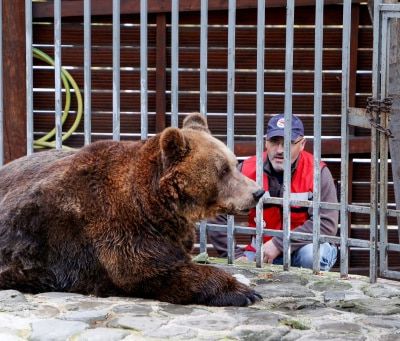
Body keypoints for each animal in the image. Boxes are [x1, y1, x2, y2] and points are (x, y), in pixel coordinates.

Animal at [0, 113, 264, 306]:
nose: (258, 192)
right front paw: (242, 291)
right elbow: (151, 269)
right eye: (223, 170)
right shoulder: (118, 225)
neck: (156, 205)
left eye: (235, 164)